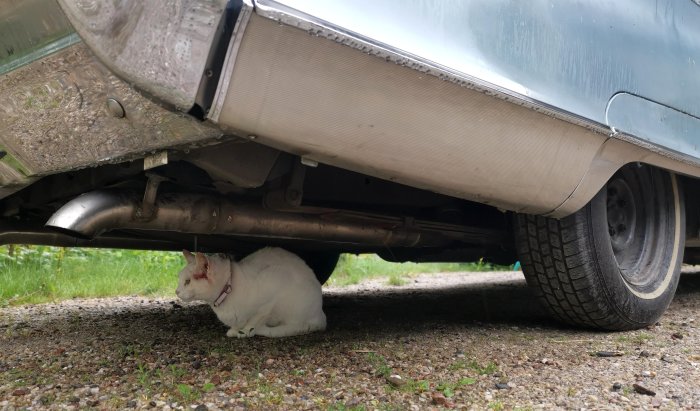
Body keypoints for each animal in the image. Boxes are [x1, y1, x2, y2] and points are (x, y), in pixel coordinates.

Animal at [175, 248, 328, 338]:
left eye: (187, 282)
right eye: (179, 278)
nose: (176, 292)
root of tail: (321, 316)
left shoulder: (272, 291)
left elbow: (256, 319)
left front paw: (245, 331)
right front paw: (234, 330)